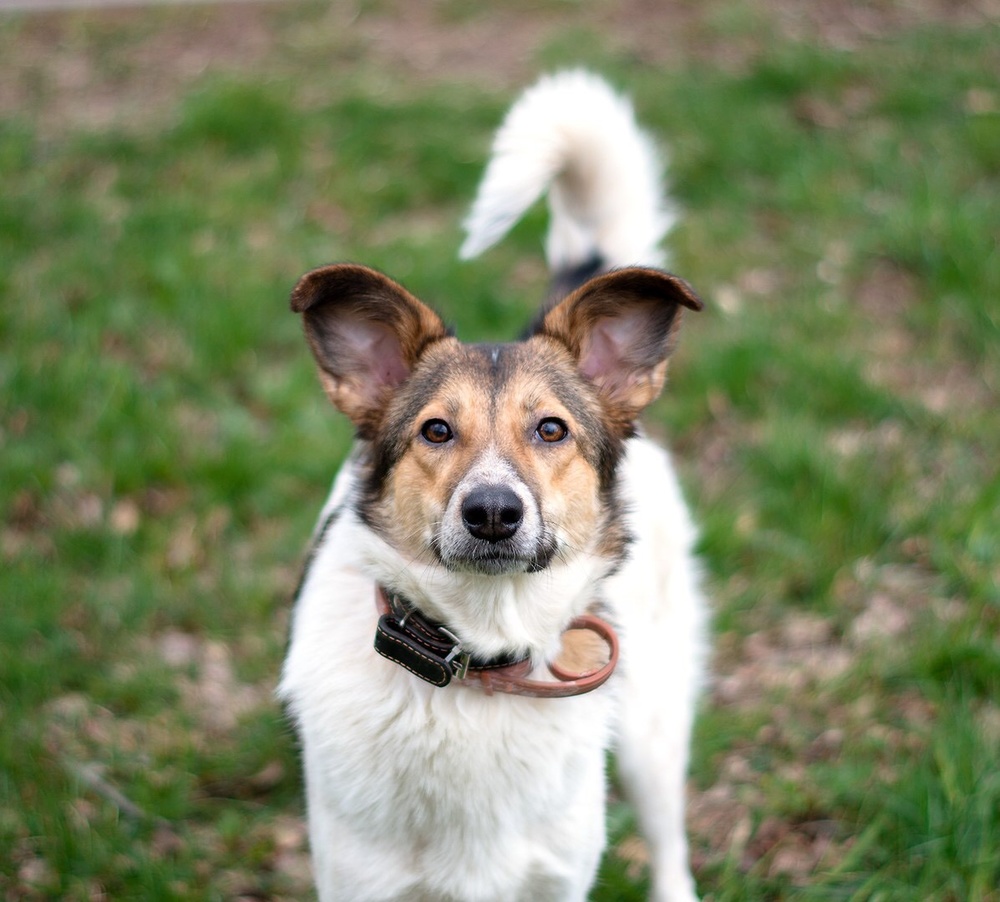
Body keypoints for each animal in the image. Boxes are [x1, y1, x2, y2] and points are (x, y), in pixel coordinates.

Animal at [278, 72, 708, 902]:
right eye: (436, 431)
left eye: (551, 430)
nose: (492, 513)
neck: (483, 662)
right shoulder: (360, 882)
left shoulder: (558, 877)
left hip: (651, 724)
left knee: (670, 838)